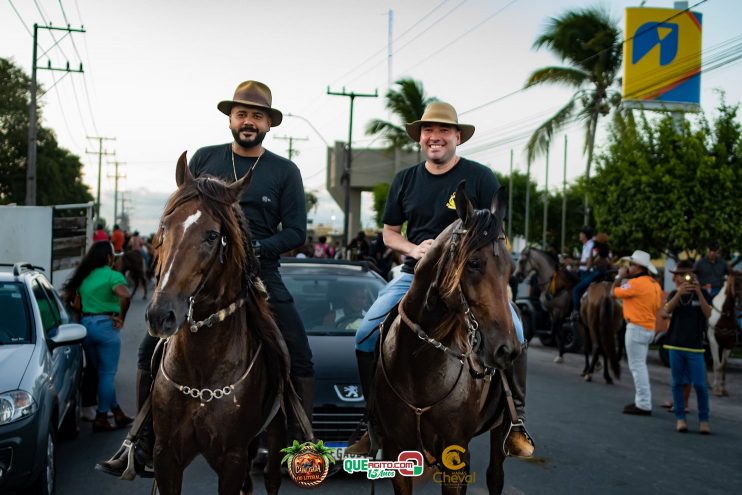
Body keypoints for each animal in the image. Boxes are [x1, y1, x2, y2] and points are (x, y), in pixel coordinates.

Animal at [144, 153, 310, 494]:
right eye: (165, 227)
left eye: (211, 235)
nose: (161, 315)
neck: (201, 370)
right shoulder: (166, 454)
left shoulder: (232, 457)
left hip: (273, 435)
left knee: (271, 478)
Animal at [372, 185, 524, 495]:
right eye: (474, 263)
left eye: (510, 270)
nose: (506, 350)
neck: (417, 362)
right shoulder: (397, 449)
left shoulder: (454, 452)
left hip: (502, 427)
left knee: (495, 475)